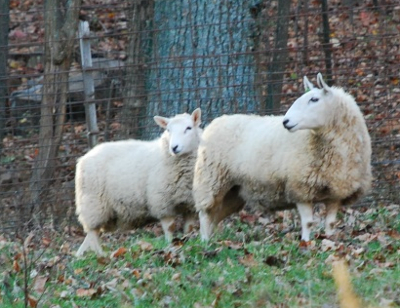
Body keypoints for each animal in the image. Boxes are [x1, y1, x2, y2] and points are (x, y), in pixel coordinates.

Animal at [74, 107, 202, 256]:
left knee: (90, 236)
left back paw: (80, 256)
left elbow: (189, 228)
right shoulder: (161, 201)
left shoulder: (190, 204)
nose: (174, 147)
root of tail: (83, 158)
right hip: (93, 204)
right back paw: (101, 255)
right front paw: (170, 245)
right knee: (92, 234)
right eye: (168, 130)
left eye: (189, 128)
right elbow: (170, 228)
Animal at [194, 73, 372, 242]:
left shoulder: (336, 191)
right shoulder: (299, 187)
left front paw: (330, 240)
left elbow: (331, 223)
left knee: (215, 216)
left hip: (233, 191)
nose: (286, 121)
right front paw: (306, 242)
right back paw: (204, 241)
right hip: (211, 179)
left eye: (314, 99)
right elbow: (308, 222)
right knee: (205, 215)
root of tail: (215, 122)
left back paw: (212, 239)